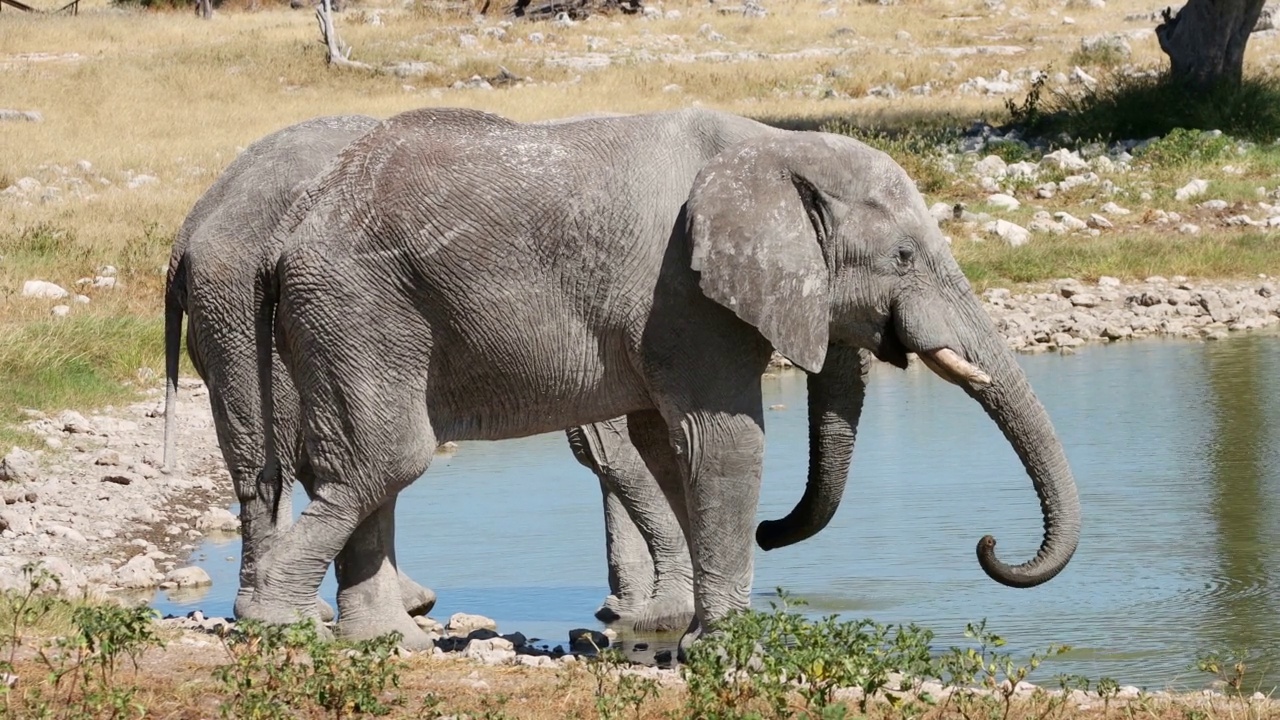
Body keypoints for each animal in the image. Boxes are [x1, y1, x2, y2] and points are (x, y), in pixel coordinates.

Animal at [165, 110, 696, 627]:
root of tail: (190, 228)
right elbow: (614, 447)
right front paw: (663, 613)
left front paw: (630, 611)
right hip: (259, 306)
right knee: (291, 459)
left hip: (236, 311)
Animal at [247, 105, 1080, 650]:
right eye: (903, 257)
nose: (989, 542)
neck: (775, 147)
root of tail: (290, 237)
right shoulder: (681, 292)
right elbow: (723, 442)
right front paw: (731, 647)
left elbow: (668, 445)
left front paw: (703, 636)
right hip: (362, 306)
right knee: (387, 460)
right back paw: (278, 623)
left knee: (367, 468)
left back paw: (383, 641)